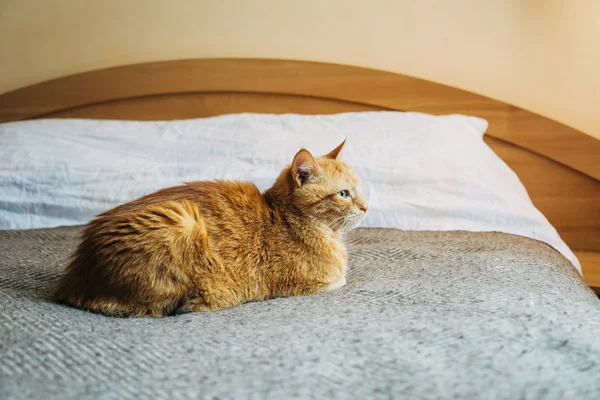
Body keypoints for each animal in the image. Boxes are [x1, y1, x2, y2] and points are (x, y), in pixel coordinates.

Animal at [54, 140, 368, 316]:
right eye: (343, 194)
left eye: (359, 188)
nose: (366, 207)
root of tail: (75, 278)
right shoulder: (311, 283)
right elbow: (340, 280)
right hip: (182, 221)